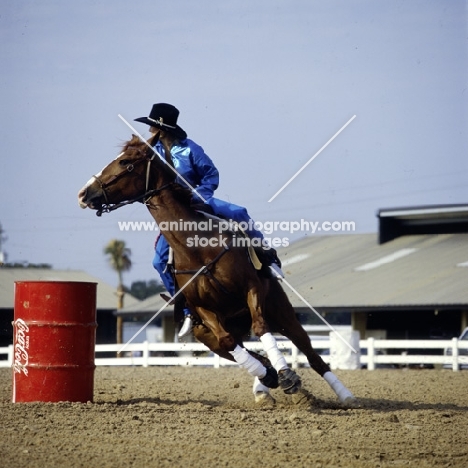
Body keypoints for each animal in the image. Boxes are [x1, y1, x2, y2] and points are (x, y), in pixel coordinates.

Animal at [77, 133, 354, 404]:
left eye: (125, 162)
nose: (83, 194)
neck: (198, 249)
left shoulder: (251, 289)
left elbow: (262, 329)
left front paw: (286, 375)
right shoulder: (204, 310)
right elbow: (230, 341)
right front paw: (270, 376)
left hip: (283, 314)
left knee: (311, 355)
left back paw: (345, 396)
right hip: (208, 337)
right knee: (244, 350)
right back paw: (266, 386)